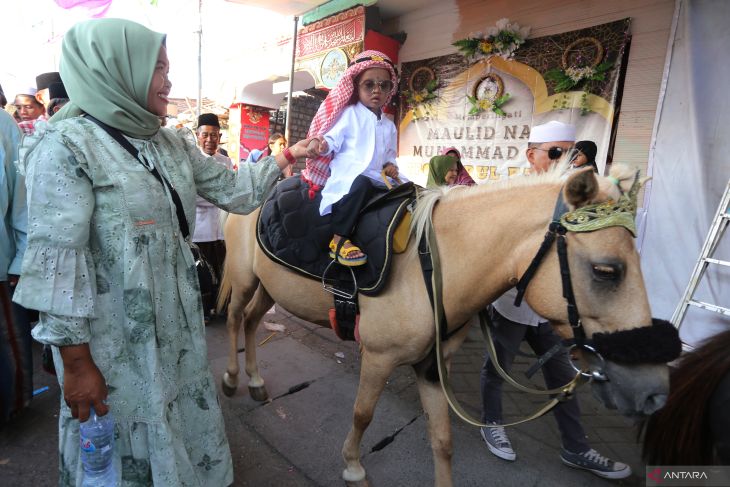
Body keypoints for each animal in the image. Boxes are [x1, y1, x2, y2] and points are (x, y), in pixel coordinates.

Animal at [219, 166, 668, 486]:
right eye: (607, 270)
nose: (653, 392)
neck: (435, 267)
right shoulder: (378, 357)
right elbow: (363, 414)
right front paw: (353, 467)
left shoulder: (434, 368)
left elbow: (443, 440)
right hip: (244, 280)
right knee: (236, 319)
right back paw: (231, 379)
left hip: (269, 287)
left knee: (254, 322)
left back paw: (256, 381)